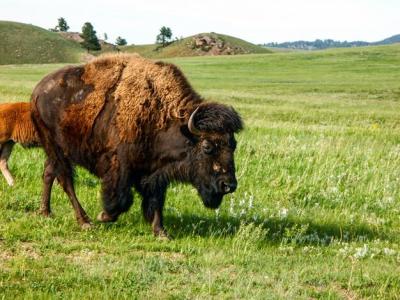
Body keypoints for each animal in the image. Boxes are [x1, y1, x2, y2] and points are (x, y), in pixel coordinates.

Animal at [30, 53, 241, 237]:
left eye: (233, 145)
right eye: (207, 147)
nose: (229, 185)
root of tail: (37, 91)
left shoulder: (156, 172)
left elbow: (156, 200)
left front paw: (161, 232)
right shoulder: (121, 167)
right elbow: (122, 199)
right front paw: (104, 216)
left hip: (54, 151)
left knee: (49, 173)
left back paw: (46, 212)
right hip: (56, 148)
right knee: (65, 180)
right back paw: (85, 221)